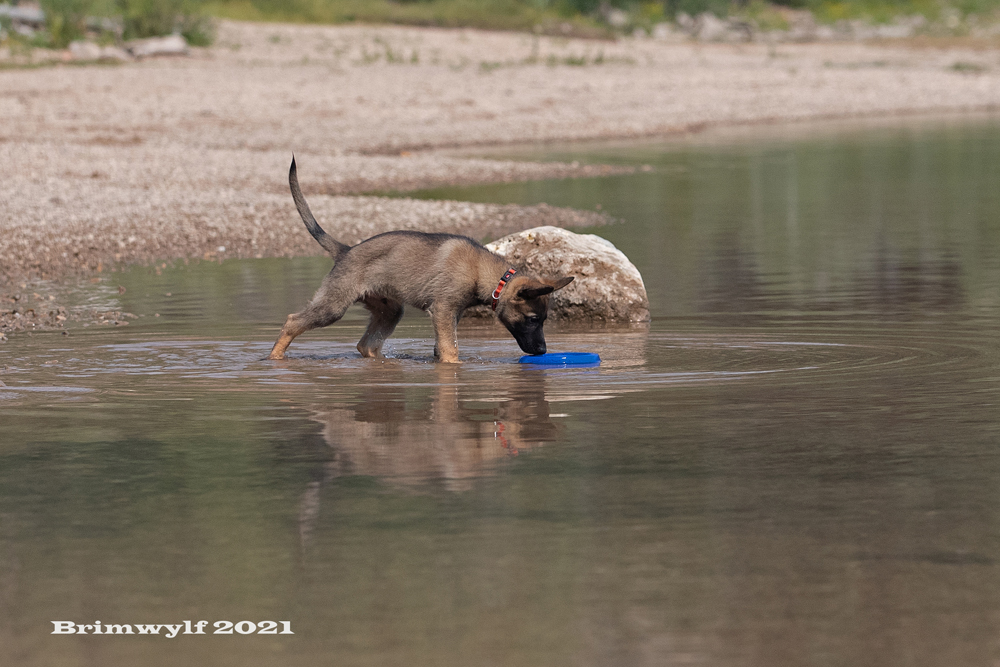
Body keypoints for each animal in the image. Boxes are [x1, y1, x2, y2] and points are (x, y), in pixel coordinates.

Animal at [267, 158, 574, 363]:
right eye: (533, 319)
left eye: (545, 320)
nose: (543, 351)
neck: (486, 274)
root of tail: (345, 250)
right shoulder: (443, 310)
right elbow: (451, 352)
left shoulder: (449, 316)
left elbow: (442, 349)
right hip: (333, 306)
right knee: (293, 322)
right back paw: (274, 358)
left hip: (389, 311)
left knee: (366, 345)